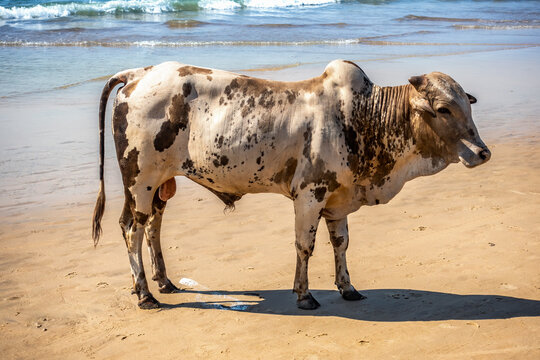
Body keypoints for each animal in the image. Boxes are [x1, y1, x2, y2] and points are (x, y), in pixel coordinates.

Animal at [92, 59, 490, 310]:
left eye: (467, 106)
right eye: (443, 109)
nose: (482, 152)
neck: (363, 117)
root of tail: (137, 74)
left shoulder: (338, 200)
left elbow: (341, 244)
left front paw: (348, 288)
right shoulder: (309, 195)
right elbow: (305, 246)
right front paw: (304, 296)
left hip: (161, 183)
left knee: (154, 226)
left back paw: (164, 282)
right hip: (140, 181)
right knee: (132, 229)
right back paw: (145, 295)